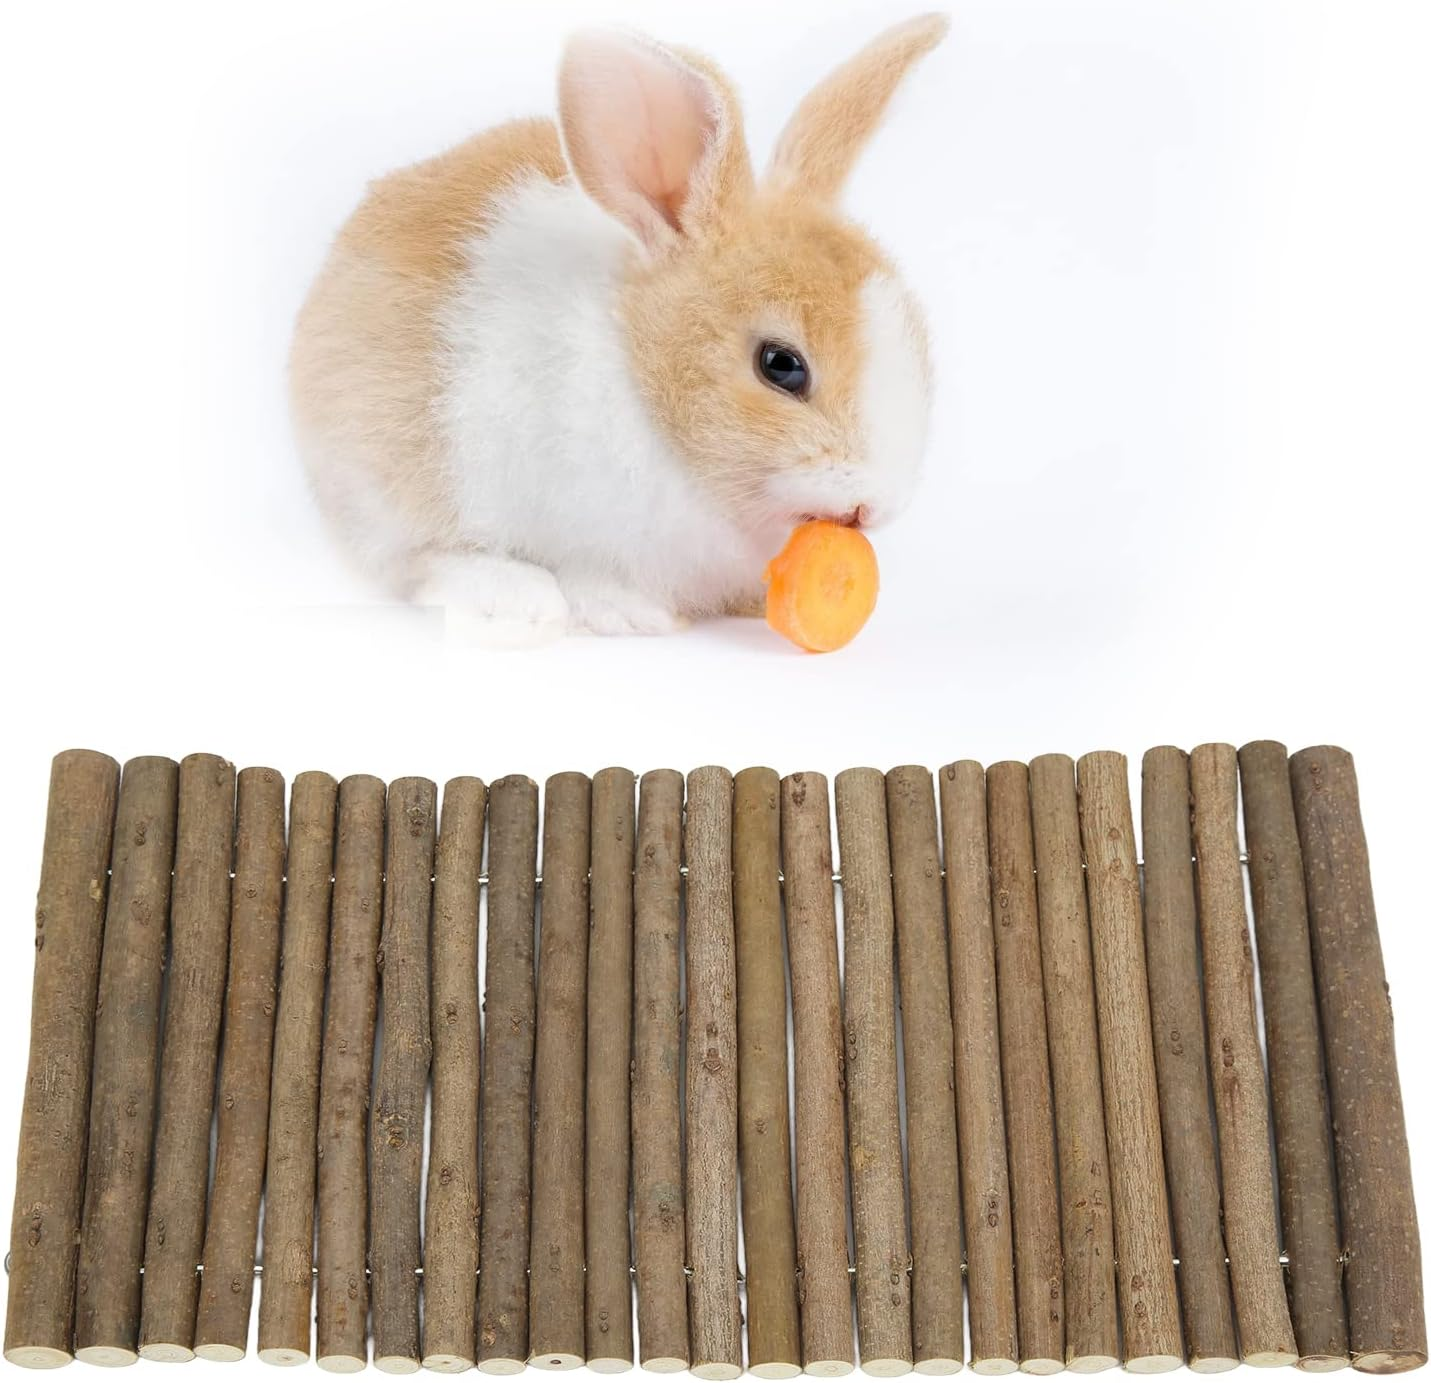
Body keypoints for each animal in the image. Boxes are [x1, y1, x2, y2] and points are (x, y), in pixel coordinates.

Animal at [291, 14, 947, 643]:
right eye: (781, 366)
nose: (874, 506)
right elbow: (591, 578)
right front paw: (635, 618)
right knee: (419, 561)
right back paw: (516, 604)